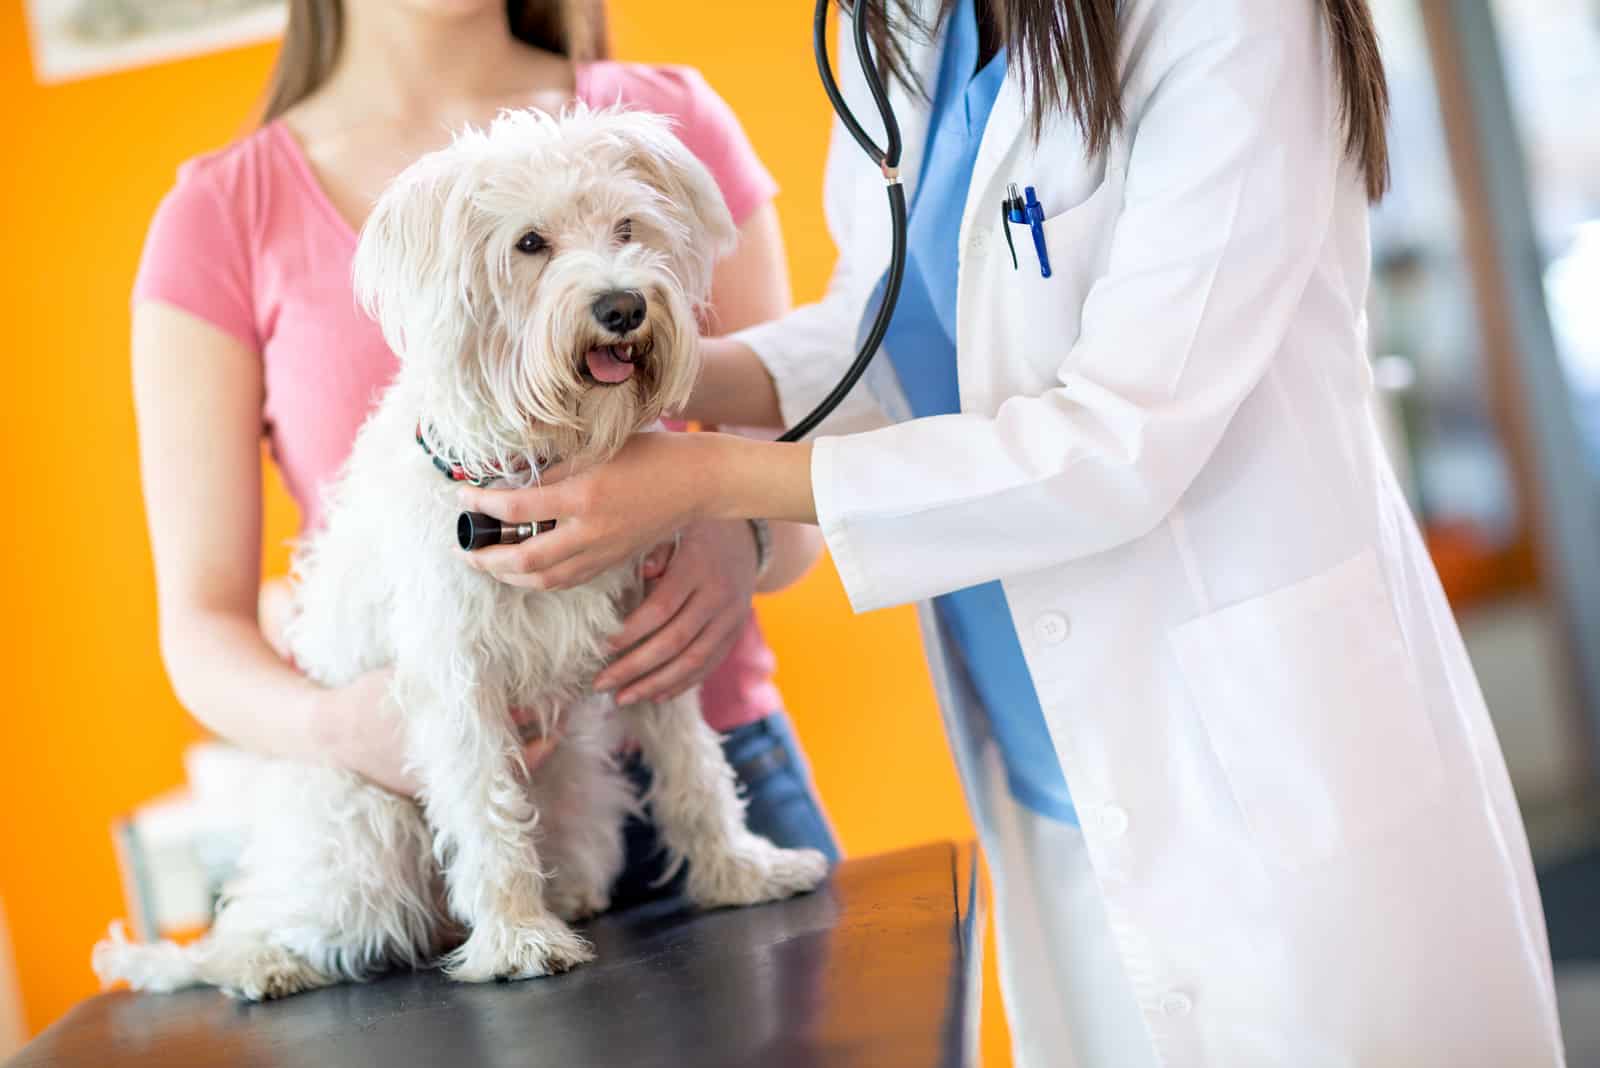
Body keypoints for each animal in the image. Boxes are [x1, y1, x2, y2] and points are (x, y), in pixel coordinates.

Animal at [92, 108, 825, 1004]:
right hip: (360, 837)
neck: (540, 454)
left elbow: (695, 776)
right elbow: (485, 814)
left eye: (627, 227)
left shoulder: (650, 634)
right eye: (531, 243)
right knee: (248, 932)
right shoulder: (456, 680)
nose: (622, 305)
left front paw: (739, 873)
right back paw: (261, 962)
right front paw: (515, 940)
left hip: (581, 782)